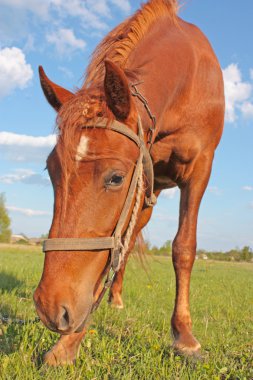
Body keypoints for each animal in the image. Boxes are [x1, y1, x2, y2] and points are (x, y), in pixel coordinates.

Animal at [33, 0, 223, 368]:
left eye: (116, 177)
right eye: (51, 171)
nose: (50, 306)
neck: (188, 79)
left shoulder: (199, 170)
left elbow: (184, 247)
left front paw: (185, 336)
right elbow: (116, 247)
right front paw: (67, 344)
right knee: (130, 238)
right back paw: (115, 298)